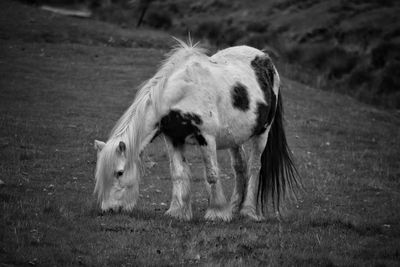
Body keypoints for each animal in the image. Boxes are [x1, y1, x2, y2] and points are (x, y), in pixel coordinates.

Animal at [94, 38, 300, 222]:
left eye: (119, 173)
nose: (108, 210)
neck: (182, 92)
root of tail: (266, 58)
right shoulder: (173, 138)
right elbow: (178, 173)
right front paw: (178, 212)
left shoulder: (206, 138)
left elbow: (212, 174)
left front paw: (217, 212)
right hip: (235, 137)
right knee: (239, 167)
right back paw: (234, 208)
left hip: (262, 132)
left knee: (255, 166)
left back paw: (248, 212)